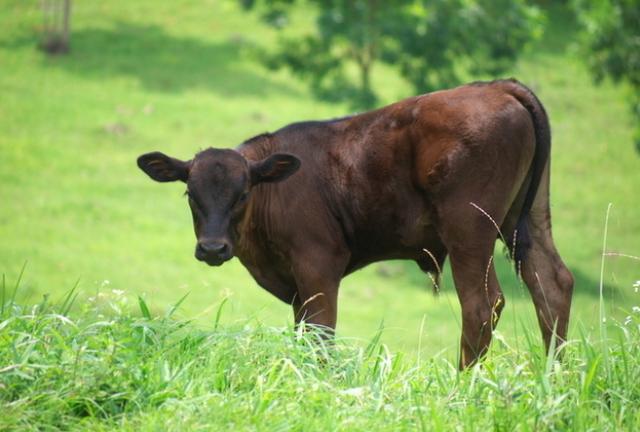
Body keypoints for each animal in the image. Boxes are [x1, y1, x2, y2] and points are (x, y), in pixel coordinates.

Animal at [138, 78, 572, 368]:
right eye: (190, 194)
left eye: (243, 193)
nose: (212, 248)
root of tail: (498, 86)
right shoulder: (297, 288)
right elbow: (302, 333)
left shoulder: (318, 265)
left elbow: (320, 332)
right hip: (528, 216)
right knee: (552, 284)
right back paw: (554, 379)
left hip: (470, 229)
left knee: (482, 304)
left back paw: (462, 385)